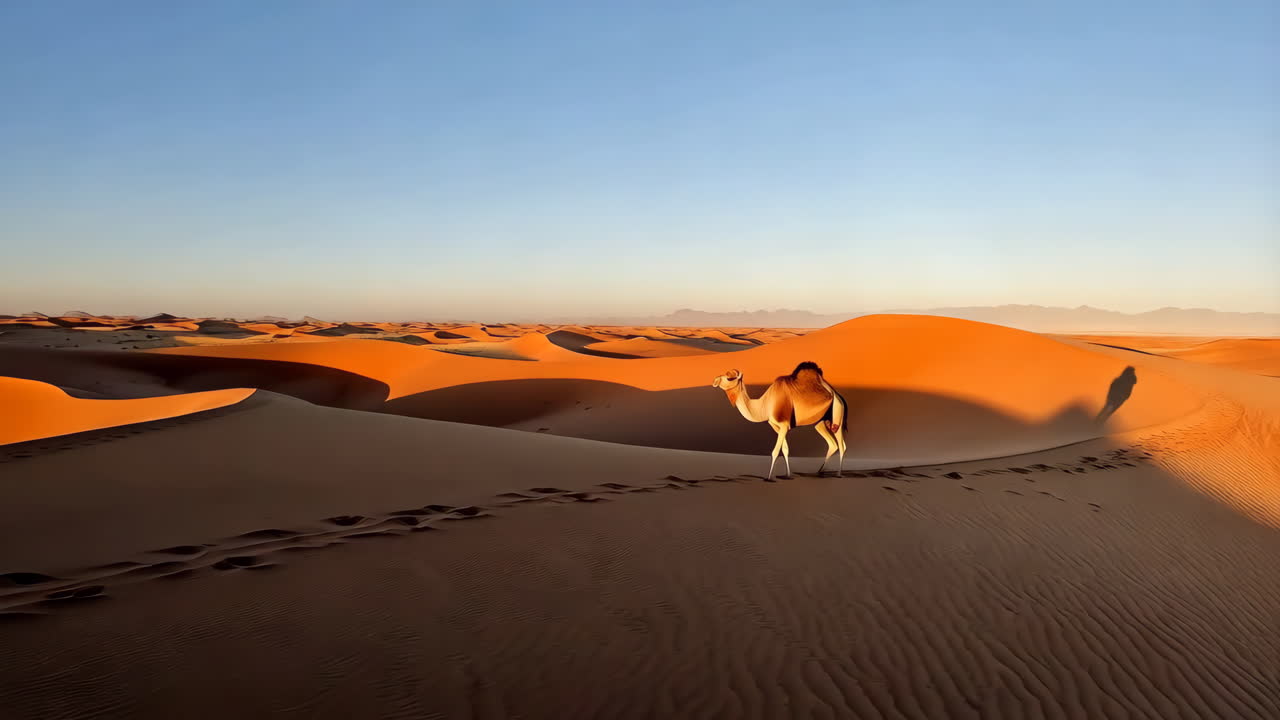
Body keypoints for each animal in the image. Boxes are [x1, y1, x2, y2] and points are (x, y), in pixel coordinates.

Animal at [712, 361, 847, 480]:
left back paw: (839, 474)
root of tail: (838, 395)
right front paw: (787, 475)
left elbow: (775, 451)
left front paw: (769, 477)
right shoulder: (775, 426)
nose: (714, 380)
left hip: (837, 415)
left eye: (729, 378)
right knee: (832, 444)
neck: (765, 404)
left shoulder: (784, 425)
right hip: (821, 423)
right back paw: (820, 471)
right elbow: (785, 449)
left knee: (842, 445)